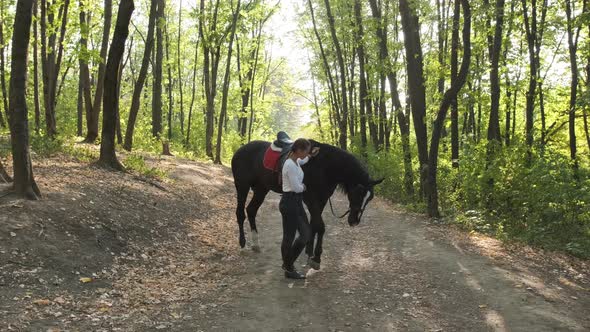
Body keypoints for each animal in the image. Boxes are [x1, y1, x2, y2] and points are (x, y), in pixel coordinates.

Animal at [231, 139, 384, 268]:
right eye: (358, 193)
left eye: (369, 199)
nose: (354, 221)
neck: (325, 167)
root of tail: (240, 150)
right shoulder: (311, 199)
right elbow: (320, 226)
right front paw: (316, 258)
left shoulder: (322, 200)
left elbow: (314, 225)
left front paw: (309, 252)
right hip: (242, 186)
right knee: (240, 213)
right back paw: (243, 245)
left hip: (261, 189)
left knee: (251, 210)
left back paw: (256, 244)